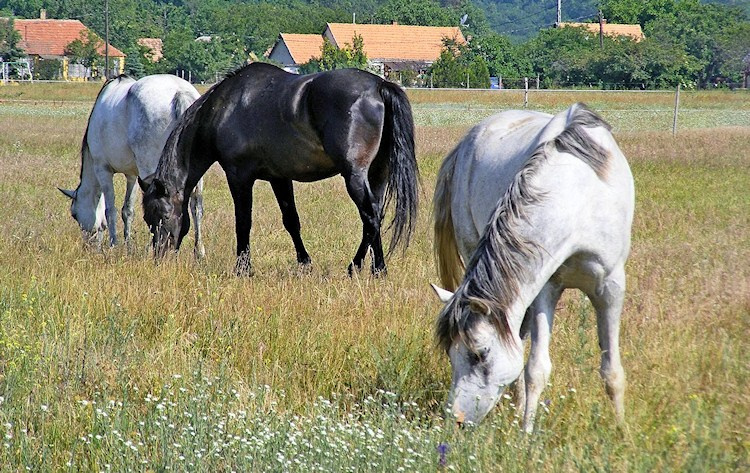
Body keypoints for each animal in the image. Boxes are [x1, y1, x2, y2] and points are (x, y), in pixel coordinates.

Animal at [59, 74, 205, 257]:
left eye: (74, 214)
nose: (88, 246)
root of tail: (180, 92)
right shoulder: (133, 175)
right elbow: (127, 211)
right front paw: (128, 246)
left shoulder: (103, 170)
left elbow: (110, 210)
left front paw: (113, 245)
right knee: (196, 206)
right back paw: (199, 252)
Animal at [139, 62, 419, 276]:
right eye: (147, 219)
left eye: (161, 215)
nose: (159, 258)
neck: (224, 109)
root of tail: (379, 86)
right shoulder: (279, 178)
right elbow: (291, 220)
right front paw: (304, 263)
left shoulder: (239, 177)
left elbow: (243, 222)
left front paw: (243, 269)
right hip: (378, 174)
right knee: (375, 216)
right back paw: (374, 268)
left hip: (355, 175)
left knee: (370, 216)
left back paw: (360, 267)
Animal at [431, 103, 634, 431]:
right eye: (450, 353)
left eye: (479, 354)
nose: (456, 420)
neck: (579, 197)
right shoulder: (545, 288)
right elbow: (536, 368)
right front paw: (526, 433)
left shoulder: (611, 289)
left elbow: (612, 371)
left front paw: (621, 431)